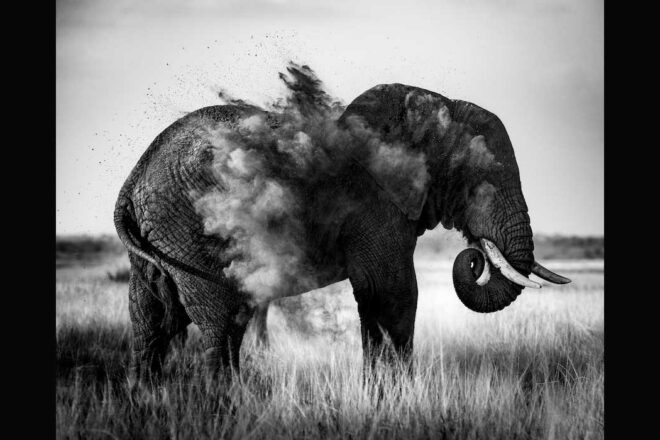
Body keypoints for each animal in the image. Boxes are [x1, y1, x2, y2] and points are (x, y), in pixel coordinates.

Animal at [114, 69, 570, 384]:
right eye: (482, 178)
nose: (474, 258)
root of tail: (132, 182)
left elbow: (379, 298)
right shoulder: (375, 204)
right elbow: (392, 293)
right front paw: (395, 395)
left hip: (163, 237)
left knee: (153, 318)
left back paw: (148, 397)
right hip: (191, 231)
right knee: (220, 320)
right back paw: (226, 400)